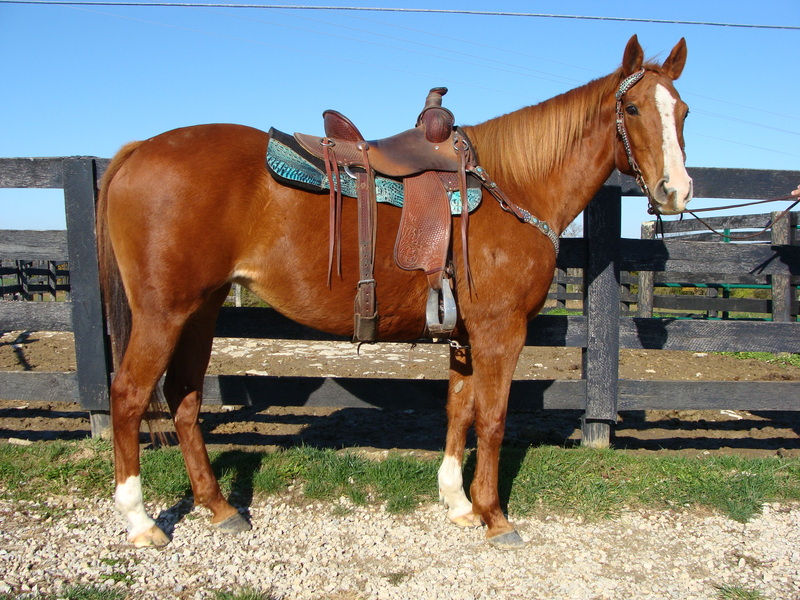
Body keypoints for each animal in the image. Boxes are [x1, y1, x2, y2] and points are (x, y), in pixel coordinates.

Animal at [97, 35, 691, 550]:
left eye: (682, 112)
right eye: (632, 109)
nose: (676, 190)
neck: (513, 187)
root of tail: (138, 150)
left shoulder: (466, 333)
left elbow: (460, 409)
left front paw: (458, 504)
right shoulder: (500, 330)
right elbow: (493, 419)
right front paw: (495, 517)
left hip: (201, 310)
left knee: (184, 397)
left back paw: (218, 507)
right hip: (163, 313)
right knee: (128, 396)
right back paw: (140, 521)